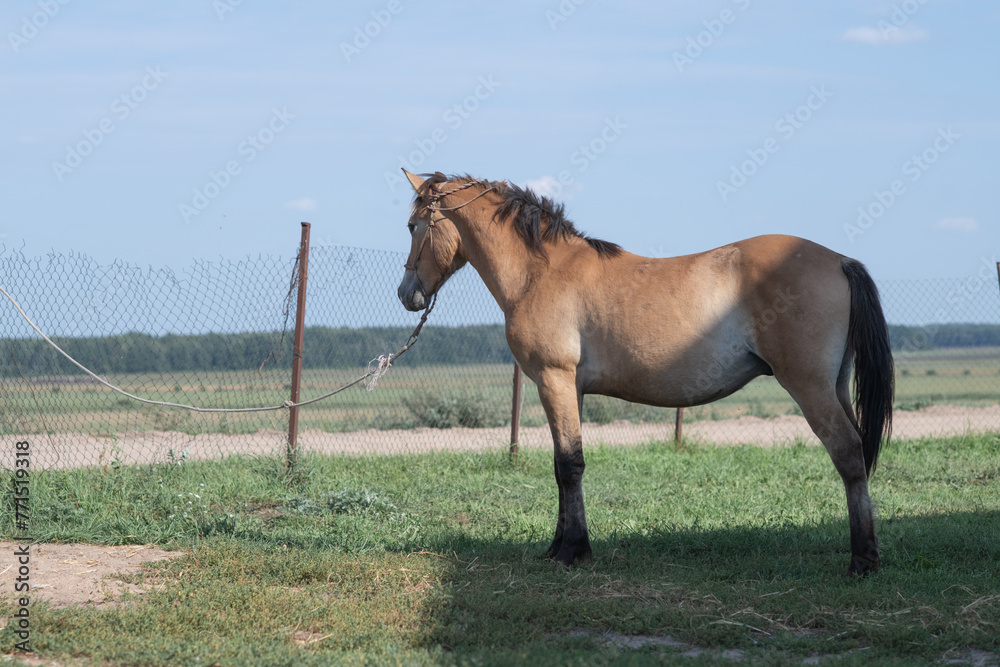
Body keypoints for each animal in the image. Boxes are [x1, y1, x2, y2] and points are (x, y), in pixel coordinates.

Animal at [396, 170, 894, 576]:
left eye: (413, 225)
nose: (407, 293)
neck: (543, 272)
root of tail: (839, 260)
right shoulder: (569, 389)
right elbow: (561, 464)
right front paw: (558, 546)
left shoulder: (554, 380)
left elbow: (570, 466)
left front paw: (573, 551)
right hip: (834, 385)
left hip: (810, 387)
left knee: (848, 453)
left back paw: (863, 560)